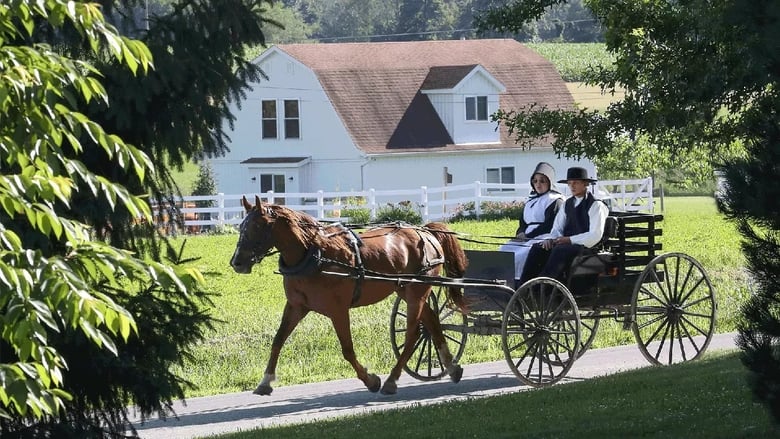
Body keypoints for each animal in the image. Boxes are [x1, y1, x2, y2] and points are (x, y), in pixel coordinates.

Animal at [229, 196, 466, 396]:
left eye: (257, 226)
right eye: (241, 227)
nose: (236, 262)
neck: (314, 254)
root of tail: (425, 231)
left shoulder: (338, 310)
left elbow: (347, 349)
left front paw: (371, 380)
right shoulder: (296, 306)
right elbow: (278, 340)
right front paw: (265, 381)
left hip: (417, 291)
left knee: (413, 334)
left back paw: (392, 380)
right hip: (406, 290)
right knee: (432, 322)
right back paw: (452, 367)